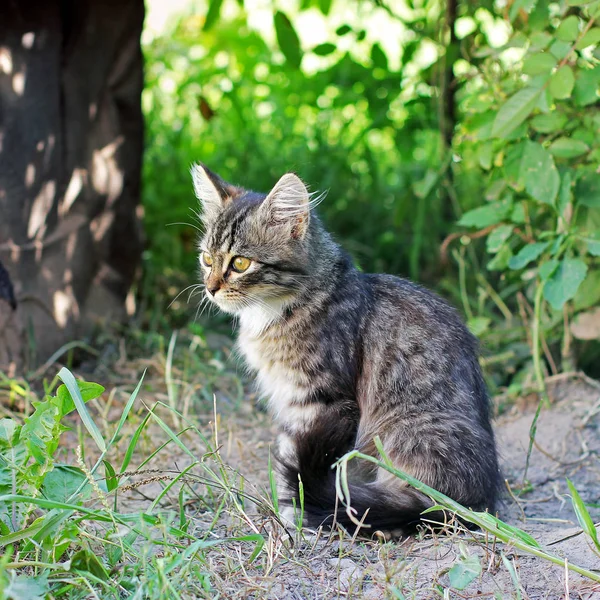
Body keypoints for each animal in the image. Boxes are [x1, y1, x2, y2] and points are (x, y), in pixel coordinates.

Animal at [193, 164, 502, 536]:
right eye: (207, 259)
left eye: (240, 264)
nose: (210, 288)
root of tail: (482, 500)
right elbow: (291, 457)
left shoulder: (323, 401)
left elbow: (300, 468)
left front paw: (295, 514)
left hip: (411, 432)